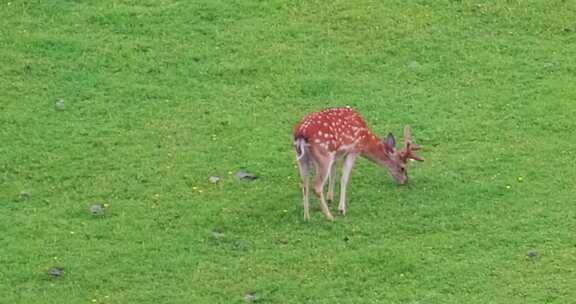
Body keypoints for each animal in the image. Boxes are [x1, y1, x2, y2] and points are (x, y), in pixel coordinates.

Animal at [292, 107, 424, 221]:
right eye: (402, 167)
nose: (405, 181)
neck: (365, 140)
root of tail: (301, 134)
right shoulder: (354, 150)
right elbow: (344, 178)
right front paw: (341, 209)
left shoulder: (336, 154)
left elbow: (333, 174)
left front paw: (330, 198)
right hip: (323, 156)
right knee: (316, 186)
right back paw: (329, 217)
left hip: (302, 158)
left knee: (304, 184)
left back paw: (306, 217)